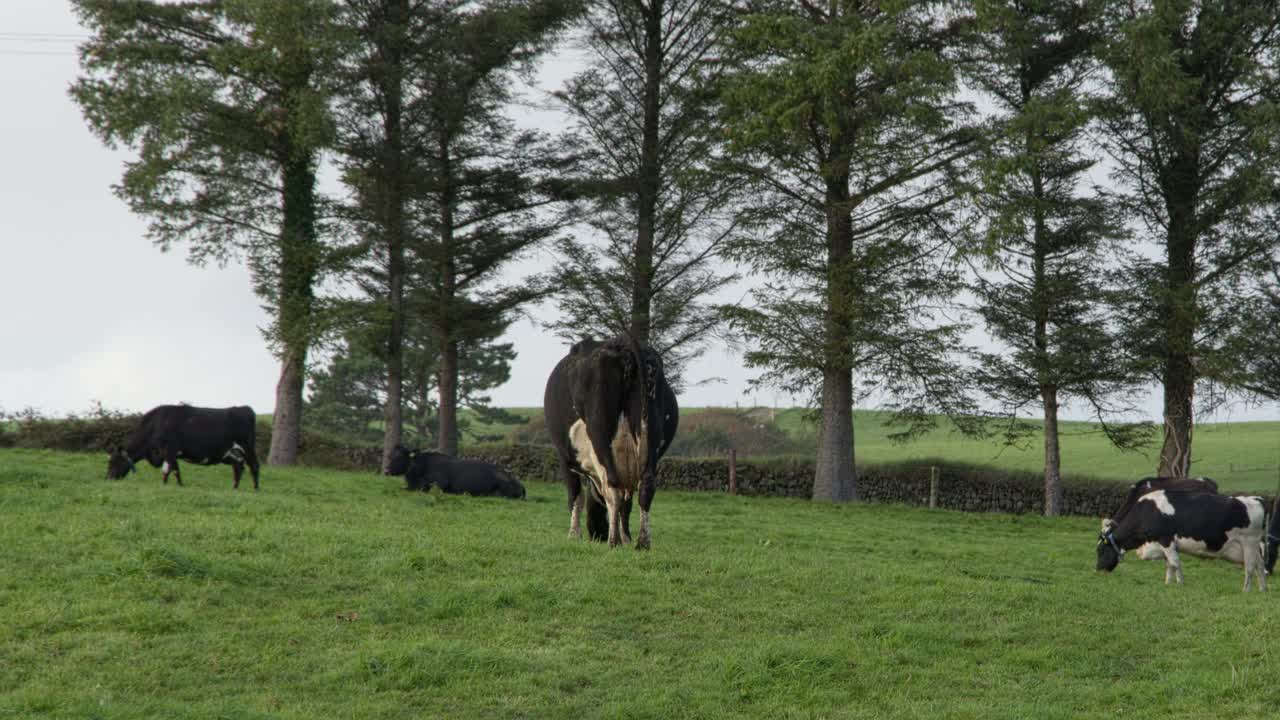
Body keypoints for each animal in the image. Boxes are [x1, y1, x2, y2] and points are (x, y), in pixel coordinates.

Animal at [107, 404, 262, 486]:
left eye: (115, 461)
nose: (108, 478)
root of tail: (245, 408)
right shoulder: (169, 454)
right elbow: (171, 470)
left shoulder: (169, 450)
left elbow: (170, 470)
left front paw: (175, 485)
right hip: (233, 453)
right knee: (238, 468)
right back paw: (235, 488)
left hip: (247, 447)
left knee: (254, 466)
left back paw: (256, 489)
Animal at [542, 333, 680, 545]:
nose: (597, 533)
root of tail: (622, 346)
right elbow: (626, 503)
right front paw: (626, 538)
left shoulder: (565, 458)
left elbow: (576, 495)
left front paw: (574, 534)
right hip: (651, 434)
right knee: (646, 486)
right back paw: (642, 542)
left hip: (600, 434)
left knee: (612, 488)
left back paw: (613, 541)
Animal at [1100, 486, 1269, 589]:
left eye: (1101, 550)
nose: (1098, 569)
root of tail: (1257, 499)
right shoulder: (1166, 545)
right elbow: (1169, 565)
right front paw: (1168, 584)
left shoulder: (1166, 539)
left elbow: (1175, 563)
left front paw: (1181, 583)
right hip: (1252, 546)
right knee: (1260, 565)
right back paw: (1263, 589)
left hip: (1249, 541)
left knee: (1250, 567)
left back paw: (1246, 590)